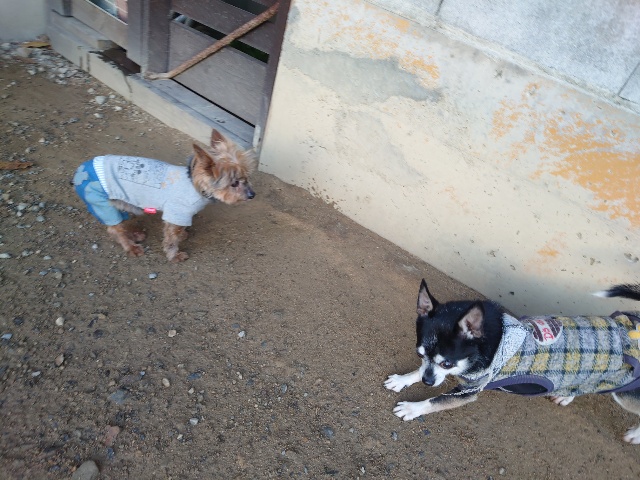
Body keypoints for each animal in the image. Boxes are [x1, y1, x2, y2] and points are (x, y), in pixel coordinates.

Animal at [73, 129, 256, 262]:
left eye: (246, 177)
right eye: (234, 184)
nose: (252, 195)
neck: (194, 184)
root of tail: (79, 171)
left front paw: (183, 235)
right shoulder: (177, 213)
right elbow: (171, 238)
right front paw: (175, 255)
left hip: (118, 202)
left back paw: (135, 235)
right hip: (102, 203)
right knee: (114, 228)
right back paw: (131, 247)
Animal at [385, 280, 640, 444]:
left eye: (447, 364)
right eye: (419, 355)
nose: (427, 383)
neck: (487, 343)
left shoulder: (469, 390)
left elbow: (436, 400)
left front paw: (413, 407)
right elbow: (420, 372)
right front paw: (403, 379)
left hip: (627, 393)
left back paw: (635, 435)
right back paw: (567, 395)